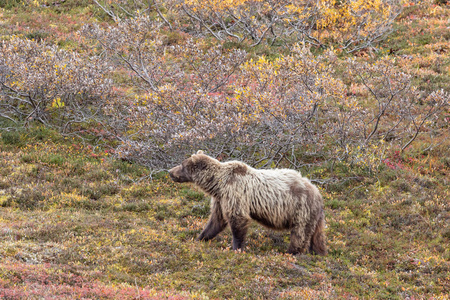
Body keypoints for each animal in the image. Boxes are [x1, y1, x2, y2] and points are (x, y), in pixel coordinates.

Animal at [169, 150, 326, 255]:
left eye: (182, 165)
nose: (170, 171)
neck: (218, 185)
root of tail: (317, 192)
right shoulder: (220, 199)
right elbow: (216, 221)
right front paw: (199, 238)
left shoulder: (235, 193)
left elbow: (238, 220)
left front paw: (237, 248)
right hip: (314, 215)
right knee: (317, 236)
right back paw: (318, 252)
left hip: (300, 209)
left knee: (300, 233)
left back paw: (291, 252)